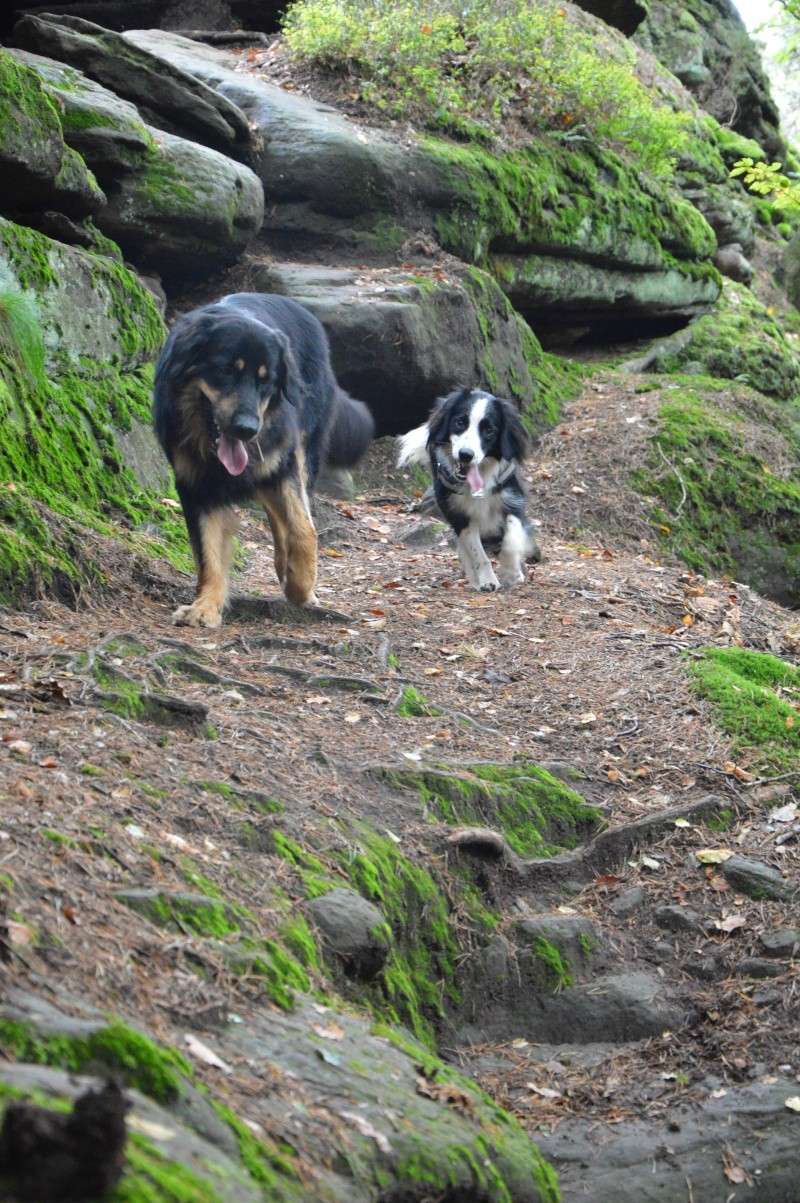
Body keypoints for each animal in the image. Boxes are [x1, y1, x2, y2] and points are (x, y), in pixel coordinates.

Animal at [153, 294, 372, 625]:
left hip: (298, 455)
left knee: (288, 517)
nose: (247, 429)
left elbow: (303, 528)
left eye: (265, 380)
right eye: (226, 371)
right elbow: (208, 554)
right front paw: (206, 606)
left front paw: (301, 586)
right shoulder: (195, 487)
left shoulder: (284, 465)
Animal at [396, 387, 538, 589]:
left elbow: (512, 536)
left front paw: (512, 571)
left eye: (489, 430)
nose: (465, 455)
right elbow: (476, 550)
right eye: (460, 422)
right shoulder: (458, 513)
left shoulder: (512, 498)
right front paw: (487, 580)